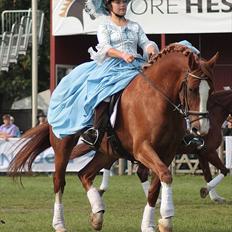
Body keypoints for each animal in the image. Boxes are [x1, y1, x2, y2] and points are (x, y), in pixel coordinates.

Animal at [8, 44, 216, 232]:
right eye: (192, 89)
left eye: (211, 90)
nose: (201, 128)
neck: (157, 99)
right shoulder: (142, 149)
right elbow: (165, 175)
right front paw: (164, 218)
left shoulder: (167, 153)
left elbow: (156, 186)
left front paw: (155, 223)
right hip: (63, 144)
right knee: (59, 181)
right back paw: (60, 224)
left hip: (108, 151)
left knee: (84, 174)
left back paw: (97, 215)